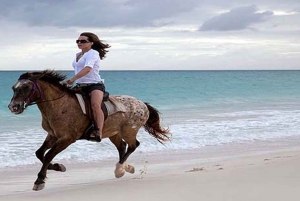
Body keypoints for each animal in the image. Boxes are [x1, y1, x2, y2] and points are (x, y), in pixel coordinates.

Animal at [7, 70, 169, 191]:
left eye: (27, 87)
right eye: (14, 88)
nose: (13, 107)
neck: (59, 105)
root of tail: (143, 104)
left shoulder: (67, 139)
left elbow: (48, 156)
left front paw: (40, 180)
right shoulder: (53, 135)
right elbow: (40, 153)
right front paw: (58, 167)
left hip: (128, 131)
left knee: (133, 145)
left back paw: (119, 169)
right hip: (113, 133)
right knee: (122, 147)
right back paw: (124, 168)